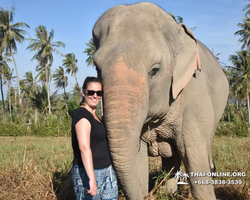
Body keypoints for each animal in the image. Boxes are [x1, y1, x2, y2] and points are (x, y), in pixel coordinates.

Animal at [91, 1, 229, 200]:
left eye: (155, 70)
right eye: (97, 68)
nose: (148, 196)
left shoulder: (195, 95)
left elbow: (195, 160)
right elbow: (138, 160)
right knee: (172, 159)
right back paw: (169, 192)